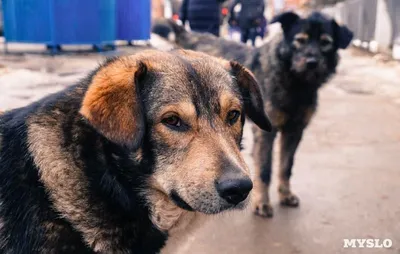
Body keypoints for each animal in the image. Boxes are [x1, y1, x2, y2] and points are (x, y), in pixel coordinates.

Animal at [154, 11, 354, 217]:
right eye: (299, 40)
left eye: (326, 42)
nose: (311, 63)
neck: (296, 83)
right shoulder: (266, 133)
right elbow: (265, 169)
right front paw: (263, 202)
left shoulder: (295, 131)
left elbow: (286, 166)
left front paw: (285, 194)